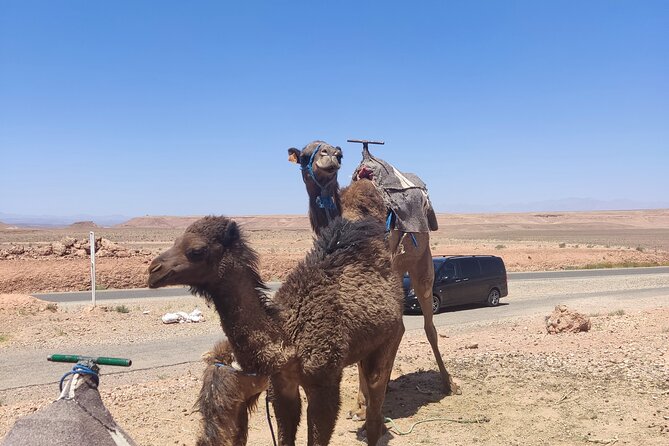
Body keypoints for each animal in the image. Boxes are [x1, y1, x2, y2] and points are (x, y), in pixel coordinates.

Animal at [148, 214, 404, 445]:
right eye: (175, 240)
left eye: (196, 250)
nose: (153, 270)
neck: (288, 339)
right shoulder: (281, 385)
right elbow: (285, 434)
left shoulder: (324, 383)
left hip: (391, 337)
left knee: (375, 401)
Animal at [288, 141, 459, 401]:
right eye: (305, 155)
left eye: (339, 154)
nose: (330, 156)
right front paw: (363, 399)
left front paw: (364, 400)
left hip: (422, 260)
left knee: (428, 325)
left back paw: (447, 383)